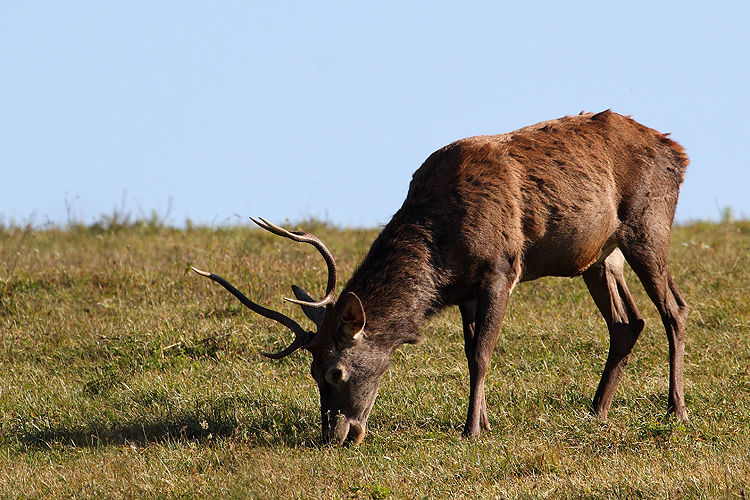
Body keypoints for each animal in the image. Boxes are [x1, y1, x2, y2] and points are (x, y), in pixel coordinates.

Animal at [191, 110, 692, 446]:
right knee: (627, 322)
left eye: (335, 370)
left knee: (675, 309)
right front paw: (484, 420)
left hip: (648, 224)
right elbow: (470, 352)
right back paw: (596, 411)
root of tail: (678, 151)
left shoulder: (501, 269)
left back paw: (677, 410)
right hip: (598, 257)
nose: (336, 435)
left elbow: (482, 356)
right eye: (311, 371)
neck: (441, 255)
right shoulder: (466, 291)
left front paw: (472, 431)